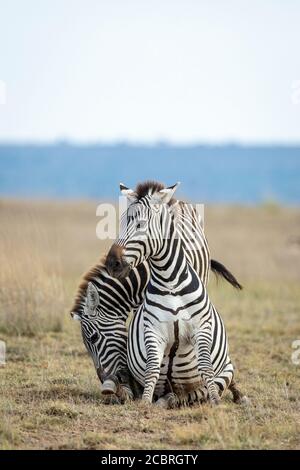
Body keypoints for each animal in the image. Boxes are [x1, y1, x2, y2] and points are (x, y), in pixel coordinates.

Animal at [105, 182, 246, 406]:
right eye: (121, 224)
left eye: (141, 225)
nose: (112, 264)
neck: (170, 281)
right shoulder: (153, 331)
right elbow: (152, 369)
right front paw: (145, 403)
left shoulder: (201, 328)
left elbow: (206, 367)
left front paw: (216, 401)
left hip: (225, 368)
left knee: (204, 387)